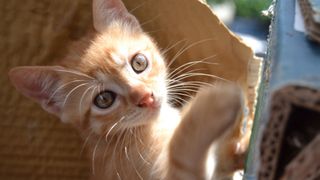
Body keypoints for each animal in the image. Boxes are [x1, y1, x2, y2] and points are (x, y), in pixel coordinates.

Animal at [9, 0, 245, 179]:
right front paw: (214, 105)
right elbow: (183, 152)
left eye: (139, 62)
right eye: (104, 99)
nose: (146, 97)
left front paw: (238, 148)